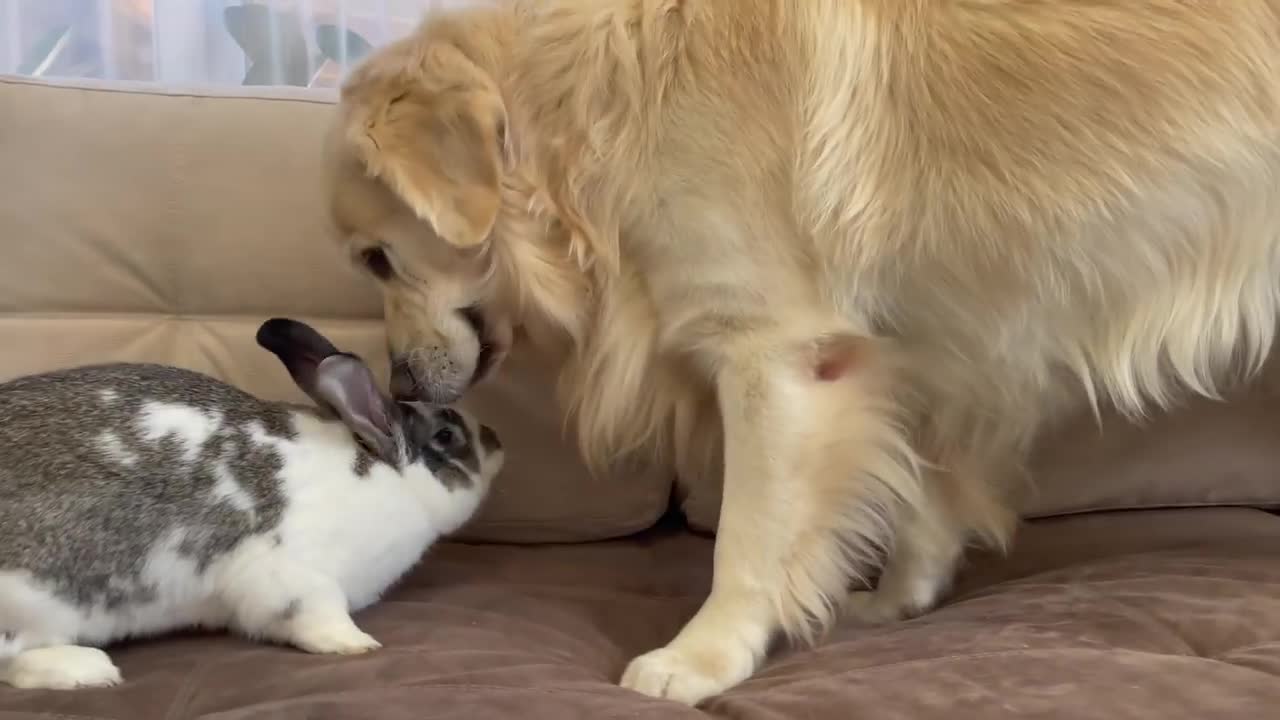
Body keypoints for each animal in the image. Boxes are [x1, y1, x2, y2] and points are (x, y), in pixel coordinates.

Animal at [0, 316, 504, 686]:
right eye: (446, 435)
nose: (498, 439)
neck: (387, 476)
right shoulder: (295, 577)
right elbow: (316, 616)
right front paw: (356, 643)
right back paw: (87, 669)